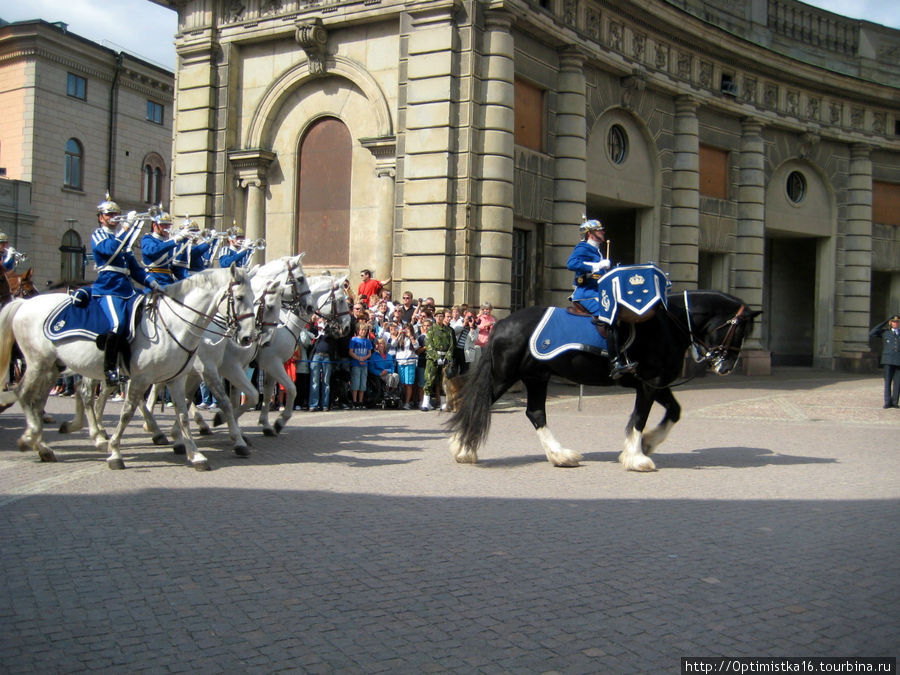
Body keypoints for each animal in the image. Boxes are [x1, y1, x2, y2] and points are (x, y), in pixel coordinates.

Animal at [0, 266, 256, 470]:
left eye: (255, 297)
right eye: (240, 297)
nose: (247, 337)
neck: (175, 324)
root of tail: (25, 304)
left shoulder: (177, 378)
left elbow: (183, 414)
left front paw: (195, 454)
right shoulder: (146, 377)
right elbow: (127, 413)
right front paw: (115, 452)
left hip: (53, 367)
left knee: (42, 398)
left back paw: (46, 443)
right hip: (39, 363)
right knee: (27, 394)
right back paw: (43, 440)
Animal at [444, 290, 760, 470]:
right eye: (740, 330)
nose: (725, 366)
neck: (669, 325)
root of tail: (502, 323)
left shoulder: (655, 384)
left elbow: (674, 411)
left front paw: (648, 443)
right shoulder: (649, 383)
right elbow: (639, 418)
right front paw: (636, 457)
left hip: (536, 377)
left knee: (535, 413)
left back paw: (560, 456)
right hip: (504, 377)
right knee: (476, 404)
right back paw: (463, 449)